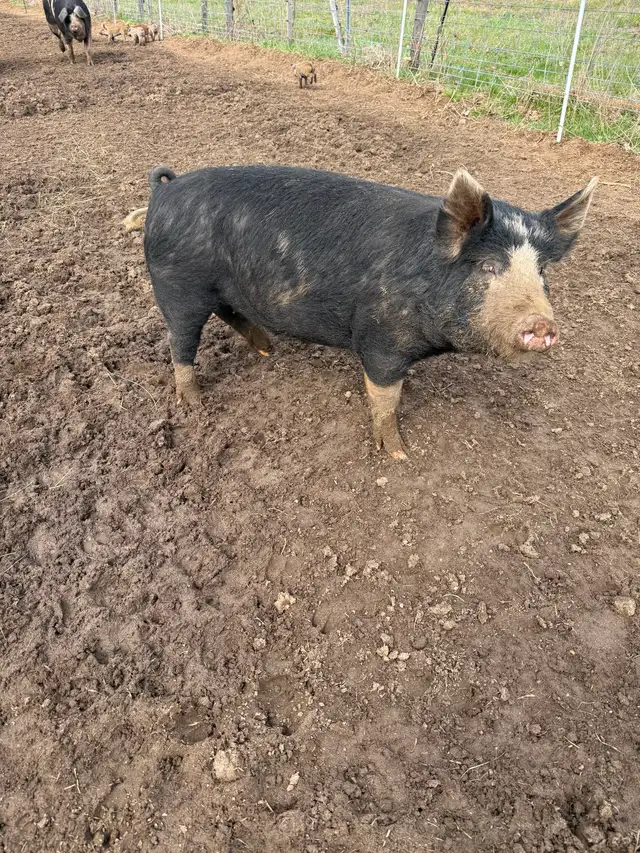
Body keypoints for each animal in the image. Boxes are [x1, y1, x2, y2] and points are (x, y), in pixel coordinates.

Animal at [135, 165, 597, 459]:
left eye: (540, 270)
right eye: (488, 266)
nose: (543, 324)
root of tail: (164, 193)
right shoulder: (381, 339)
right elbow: (385, 398)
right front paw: (398, 455)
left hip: (220, 289)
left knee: (230, 313)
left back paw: (267, 349)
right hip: (178, 286)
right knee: (180, 343)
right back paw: (194, 404)